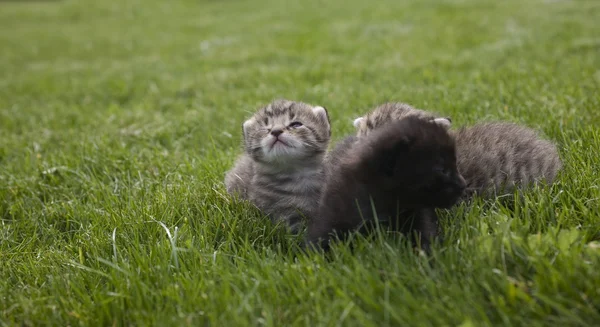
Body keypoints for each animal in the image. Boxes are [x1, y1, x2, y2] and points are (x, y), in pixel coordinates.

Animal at [308, 116, 466, 252]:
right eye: (441, 170)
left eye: (455, 163)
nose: (462, 184)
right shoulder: (335, 209)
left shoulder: (419, 213)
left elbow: (424, 234)